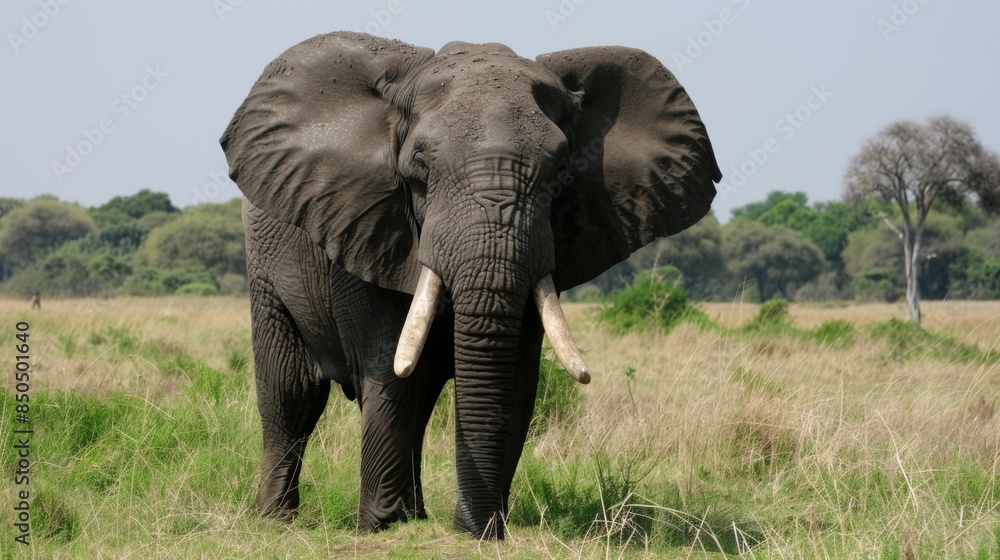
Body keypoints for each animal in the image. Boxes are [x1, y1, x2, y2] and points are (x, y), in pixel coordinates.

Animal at [220, 31, 720, 539]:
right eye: (419, 165)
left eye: (562, 170)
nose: (471, 527)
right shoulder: (364, 225)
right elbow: (389, 368)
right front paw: (379, 528)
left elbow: (516, 382)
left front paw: (479, 529)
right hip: (264, 266)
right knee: (292, 394)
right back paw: (279, 520)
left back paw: (413, 515)